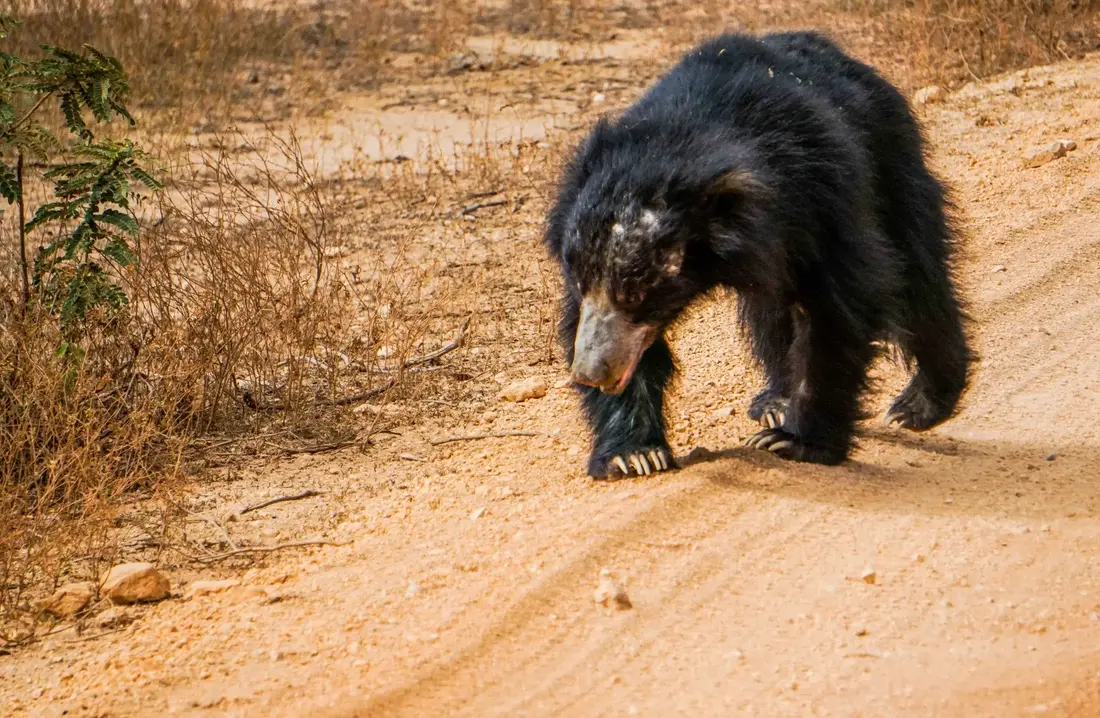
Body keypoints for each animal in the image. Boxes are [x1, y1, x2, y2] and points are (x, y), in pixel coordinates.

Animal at [542, 30, 971, 478]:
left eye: (637, 295)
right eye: (581, 283)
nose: (589, 373)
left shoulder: (822, 199)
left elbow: (837, 312)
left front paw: (795, 441)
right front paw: (634, 455)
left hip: (891, 159)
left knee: (918, 274)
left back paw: (920, 404)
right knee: (773, 311)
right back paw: (775, 402)